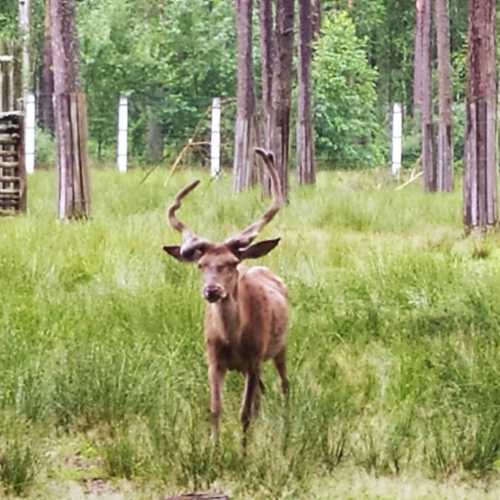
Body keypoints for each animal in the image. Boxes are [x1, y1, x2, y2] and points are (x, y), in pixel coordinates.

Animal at [163, 146, 290, 444]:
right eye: (201, 264)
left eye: (232, 263)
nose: (212, 290)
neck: (233, 339)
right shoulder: (213, 359)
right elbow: (216, 409)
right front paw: (214, 447)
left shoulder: (254, 358)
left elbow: (244, 414)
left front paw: (243, 450)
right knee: (262, 395)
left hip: (280, 347)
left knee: (285, 385)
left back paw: (287, 431)